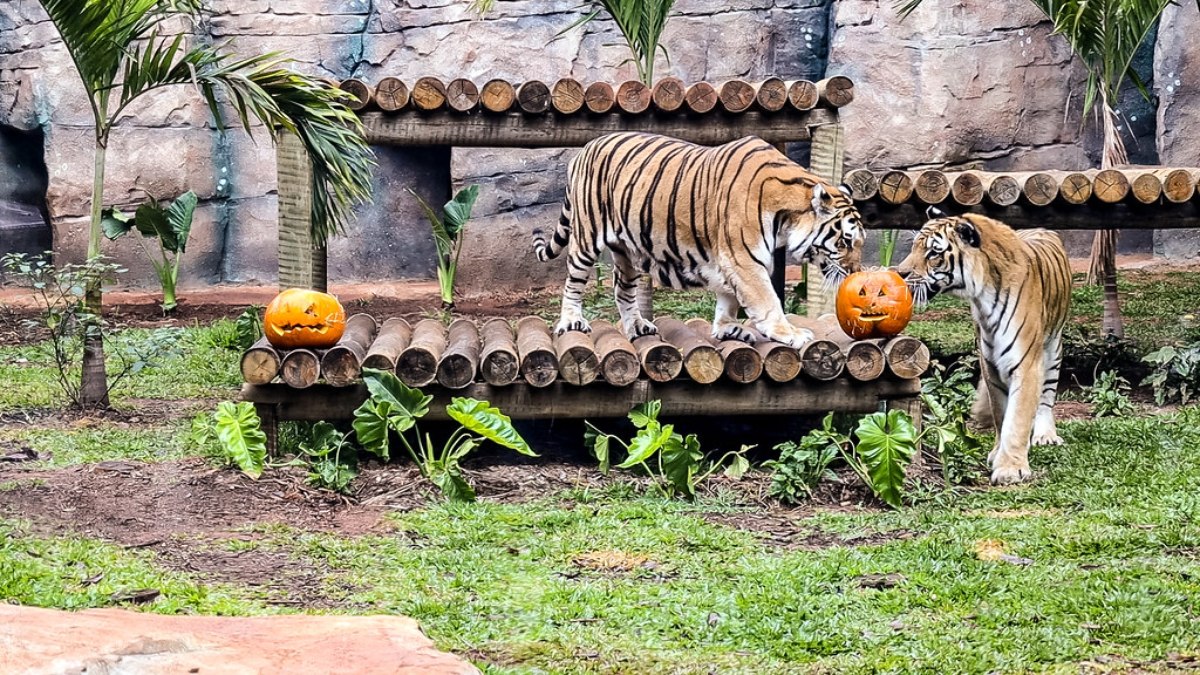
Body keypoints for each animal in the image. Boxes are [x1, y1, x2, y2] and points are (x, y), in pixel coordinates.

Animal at [533, 131, 865, 348]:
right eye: (846, 242)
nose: (856, 273)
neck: (787, 214)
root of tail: (585, 148)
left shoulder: (731, 261)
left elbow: (728, 299)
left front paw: (727, 329)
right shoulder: (744, 260)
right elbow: (767, 300)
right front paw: (791, 334)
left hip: (628, 251)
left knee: (622, 289)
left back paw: (638, 326)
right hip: (586, 239)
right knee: (573, 282)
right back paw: (571, 321)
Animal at [895, 208, 1072, 485]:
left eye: (933, 253)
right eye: (914, 247)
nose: (899, 273)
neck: (983, 299)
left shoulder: (1026, 364)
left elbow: (1017, 418)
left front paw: (1010, 469)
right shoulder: (991, 366)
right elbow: (1001, 414)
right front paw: (998, 454)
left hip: (1053, 348)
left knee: (1046, 396)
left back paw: (1045, 435)